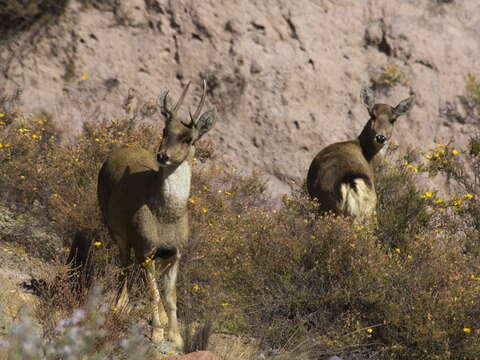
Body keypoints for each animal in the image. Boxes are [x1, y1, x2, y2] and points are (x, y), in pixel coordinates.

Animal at [97, 80, 216, 348]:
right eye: (164, 130)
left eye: (189, 138)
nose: (163, 155)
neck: (166, 216)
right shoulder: (146, 247)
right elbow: (152, 292)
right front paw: (157, 333)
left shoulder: (176, 252)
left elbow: (170, 296)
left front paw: (177, 336)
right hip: (116, 229)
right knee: (124, 265)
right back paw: (119, 305)